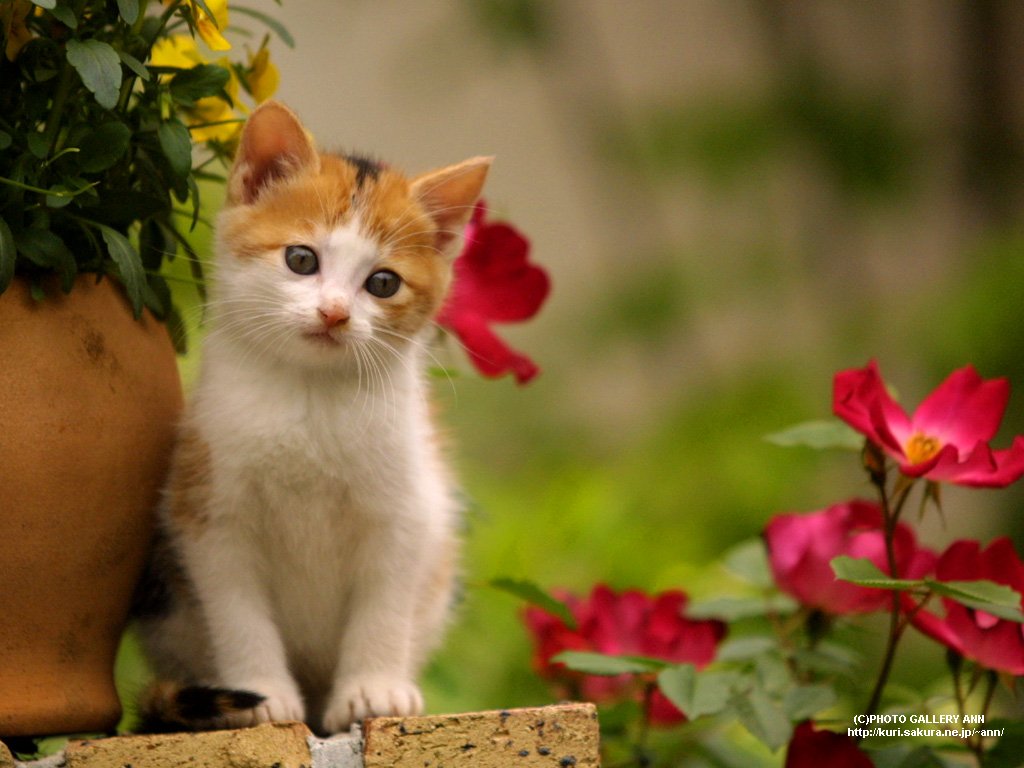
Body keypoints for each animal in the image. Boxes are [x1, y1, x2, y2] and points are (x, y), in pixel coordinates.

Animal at [136, 102, 491, 733]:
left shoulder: (405, 511)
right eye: (301, 259)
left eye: (383, 282)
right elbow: (237, 611)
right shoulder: (210, 511)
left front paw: (373, 689)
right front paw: (263, 695)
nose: (334, 313)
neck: (311, 398)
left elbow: (384, 604)